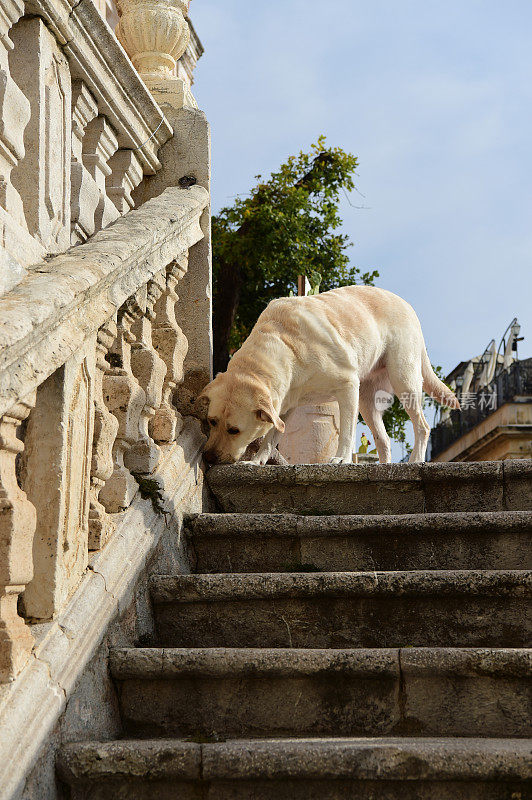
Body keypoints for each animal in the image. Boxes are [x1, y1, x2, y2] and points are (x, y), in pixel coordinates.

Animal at [200, 284, 458, 466]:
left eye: (234, 430)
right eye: (212, 421)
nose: (207, 458)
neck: (285, 344)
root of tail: (407, 305)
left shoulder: (347, 386)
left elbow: (346, 431)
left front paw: (342, 458)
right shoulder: (283, 407)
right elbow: (270, 439)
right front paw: (256, 461)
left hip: (403, 379)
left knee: (422, 426)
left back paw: (416, 460)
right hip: (366, 400)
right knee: (383, 440)